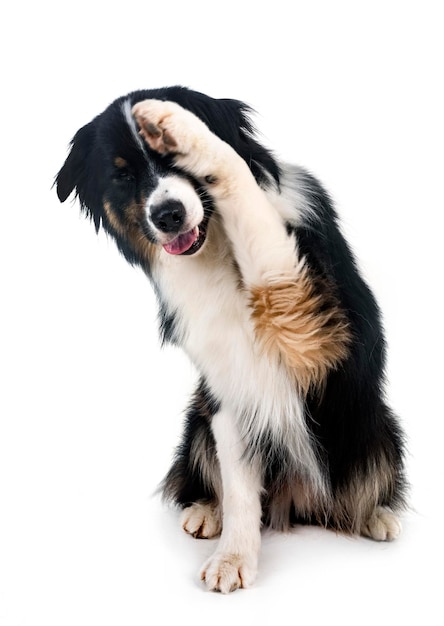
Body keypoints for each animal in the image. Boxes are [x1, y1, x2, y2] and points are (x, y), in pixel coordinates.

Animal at [55, 86, 406, 588]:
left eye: (174, 162)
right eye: (122, 176)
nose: (167, 215)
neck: (219, 249)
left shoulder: (304, 318)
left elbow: (238, 177)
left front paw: (175, 123)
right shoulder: (230, 385)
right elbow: (239, 486)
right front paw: (234, 557)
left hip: (373, 424)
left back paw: (377, 517)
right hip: (199, 418)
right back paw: (207, 510)